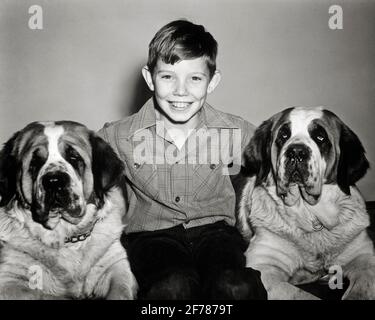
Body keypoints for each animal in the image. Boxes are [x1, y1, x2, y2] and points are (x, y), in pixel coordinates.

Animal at [0, 120, 137, 300]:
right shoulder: (9, 279)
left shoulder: (115, 266)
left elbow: (120, 291)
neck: (69, 237)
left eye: (74, 157)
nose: (54, 181)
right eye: (35, 162)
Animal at [238, 107, 374, 300]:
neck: (311, 215)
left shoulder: (364, 257)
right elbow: (303, 295)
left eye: (320, 137)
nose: (296, 152)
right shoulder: (264, 267)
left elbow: (361, 290)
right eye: (283, 135)